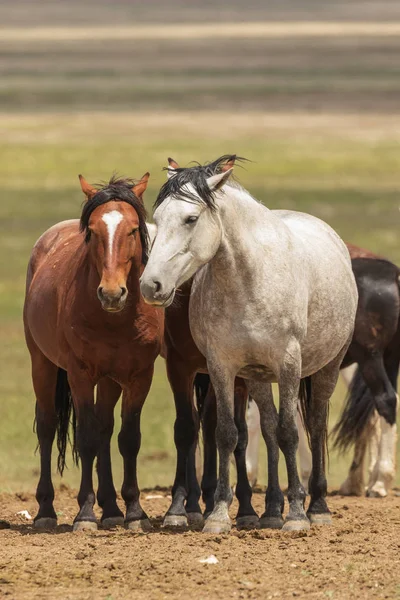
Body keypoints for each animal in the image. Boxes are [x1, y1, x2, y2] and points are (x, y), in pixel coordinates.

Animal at [23, 173, 162, 528]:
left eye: (132, 229)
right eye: (93, 232)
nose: (112, 293)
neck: (115, 319)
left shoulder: (140, 376)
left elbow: (128, 438)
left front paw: (134, 512)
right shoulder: (80, 375)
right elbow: (85, 437)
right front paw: (84, 513)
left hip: (111, 380)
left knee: (105, 428)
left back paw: (111, 509)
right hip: (41, 364)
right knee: (47, 426)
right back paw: (45, 511)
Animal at [140, 156, 356, 536]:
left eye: (191, 218)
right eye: (159, 218)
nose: (151, 285)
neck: (249, 280)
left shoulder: (288, 364)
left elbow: (290, 433)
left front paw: (296, 515)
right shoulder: (222, 367)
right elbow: (229, 433)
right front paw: (218, 515)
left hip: (327, 367)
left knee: (314, 425)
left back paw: (317, 506)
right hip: (257, 377)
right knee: (267, 430)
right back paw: (270, 511)